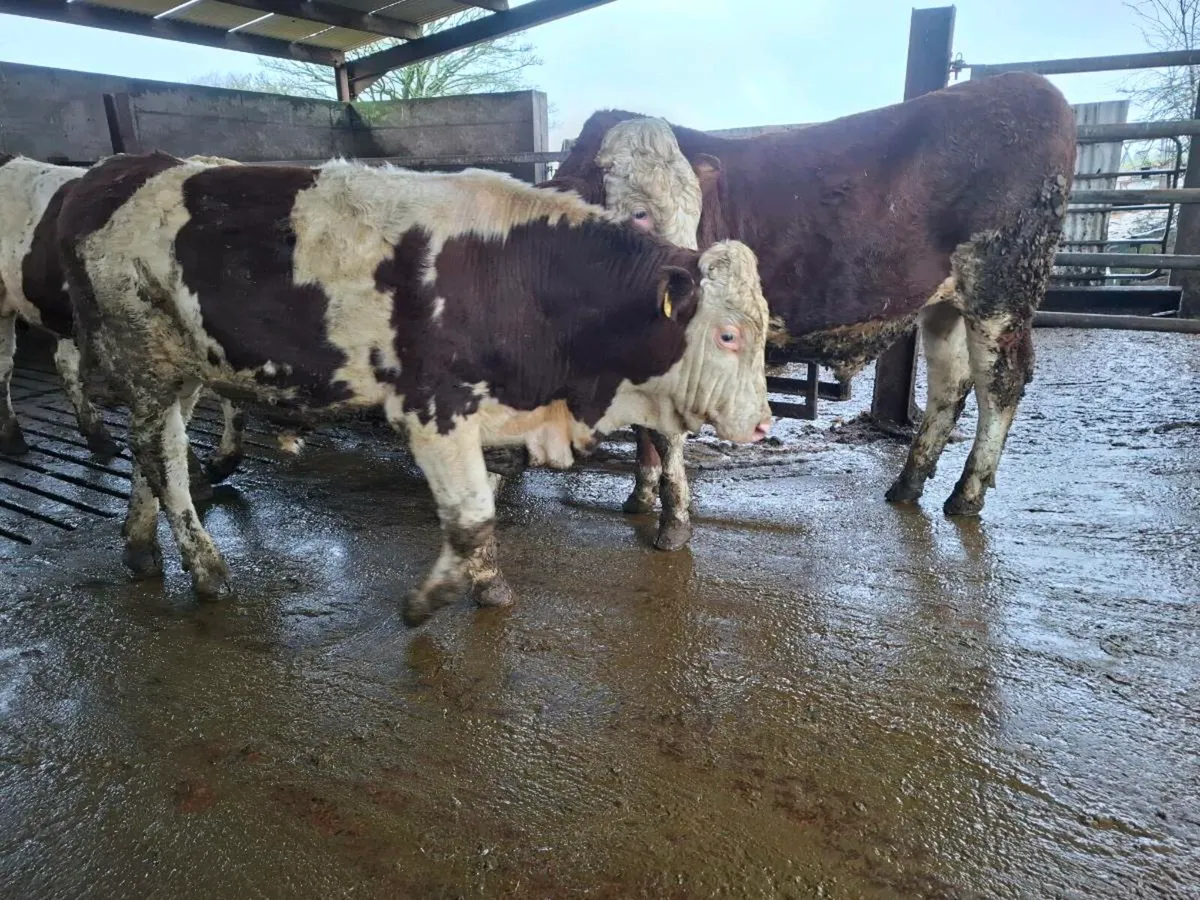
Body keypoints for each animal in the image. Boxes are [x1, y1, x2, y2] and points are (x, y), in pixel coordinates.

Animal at [0, 152, 249, 495]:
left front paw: (219, 465)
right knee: (5, 366)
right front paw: (199, 478)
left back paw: (99, 438)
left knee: (65, 365)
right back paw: (13, 439)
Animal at [57, 152, 773, 627]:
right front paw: (432, 602)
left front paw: (485, 583)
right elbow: (473, 514)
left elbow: (480, 506)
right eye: (728, 335)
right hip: (147, 356)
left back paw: (139, 546)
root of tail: (112, 181)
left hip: (180, 366)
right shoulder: (434, 407)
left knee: (152, 453)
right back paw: (205, 569)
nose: (765, 422)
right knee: (165, 460)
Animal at [552, 72, 1078, 549]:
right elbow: (646, 425)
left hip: (1003, 288)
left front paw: (673, 521)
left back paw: (966, 494)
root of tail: (1033, 85)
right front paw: (641, 497)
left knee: (1001, 384)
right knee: (950, 384)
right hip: (947, 303)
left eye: (693, 209)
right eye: (636, 213)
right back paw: (908, 484)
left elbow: (665, 433)